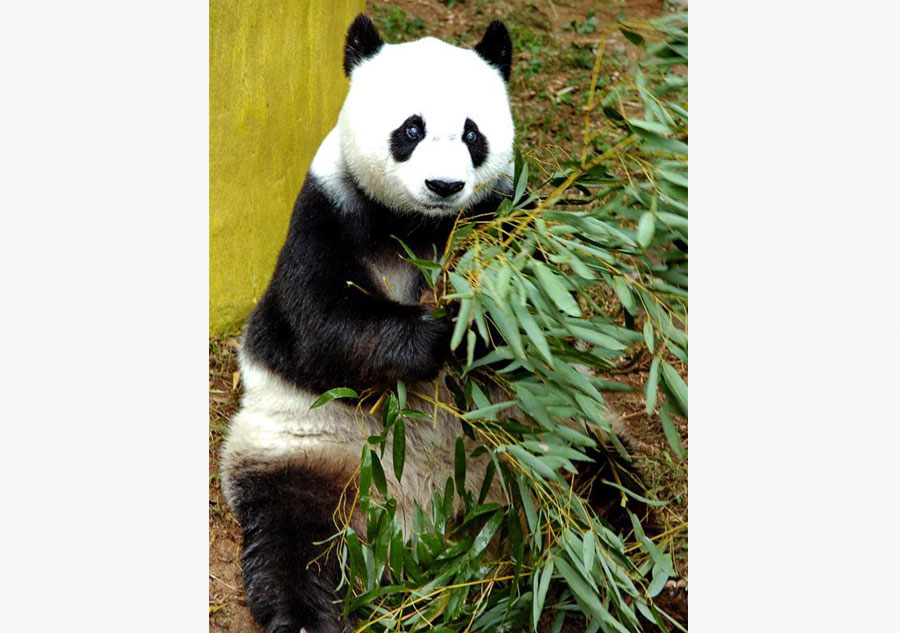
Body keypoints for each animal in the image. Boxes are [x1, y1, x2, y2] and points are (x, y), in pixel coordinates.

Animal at [220, 15, 518, 633]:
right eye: (411, 129)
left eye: (472, 133)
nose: (444, 187)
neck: (417, 223)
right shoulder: (327, 209)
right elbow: (318, 324)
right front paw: (436, 333)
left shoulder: (497, 212)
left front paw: (477, 314)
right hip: (305, 452)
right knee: (295, 541)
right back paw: (303, 615)